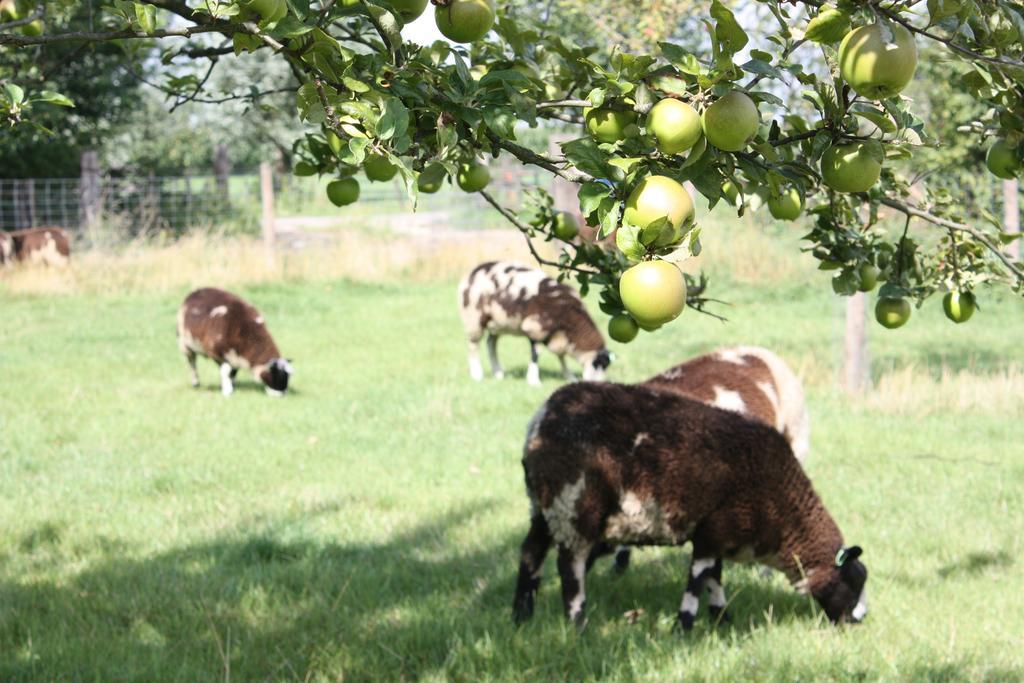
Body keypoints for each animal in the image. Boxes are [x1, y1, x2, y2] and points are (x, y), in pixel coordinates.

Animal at [456, 260, 606, 387]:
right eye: (599, 364)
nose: (600, 384)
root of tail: (474, 270)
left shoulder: (556, 336)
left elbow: (561, 356)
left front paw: (569, 377)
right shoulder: (535, 328)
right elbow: (536, 354)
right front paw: (534, 380)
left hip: (497, 322)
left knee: (491, 343)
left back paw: (498, 372)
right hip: (473, 319)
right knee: (473, 346)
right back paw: (477, 374)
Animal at [512, 382, 864, 634]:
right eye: (854, 581)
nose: (858, 620)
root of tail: (539, 420)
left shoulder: (715, 530)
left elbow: (714, 578)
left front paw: (722, 620)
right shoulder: (716, 530)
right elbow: (697, 581)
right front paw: (684, 628)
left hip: (543, 505)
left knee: (530, 554)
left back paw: (521, 616)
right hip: (573, 504)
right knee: (570, 568)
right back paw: (577, 624)